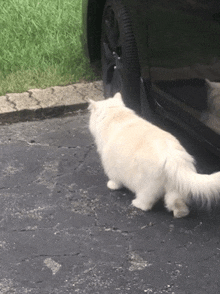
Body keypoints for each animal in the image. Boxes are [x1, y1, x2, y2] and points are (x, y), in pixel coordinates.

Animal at [88, 93, 220, 217]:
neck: (117, 115)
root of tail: (172, 156)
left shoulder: (110, 164)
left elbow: (115, 180)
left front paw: (112, 186)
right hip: (174, 188)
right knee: (176, 203)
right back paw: (180, 214)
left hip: (146, 186)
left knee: (146, 203)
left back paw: (137, 204)